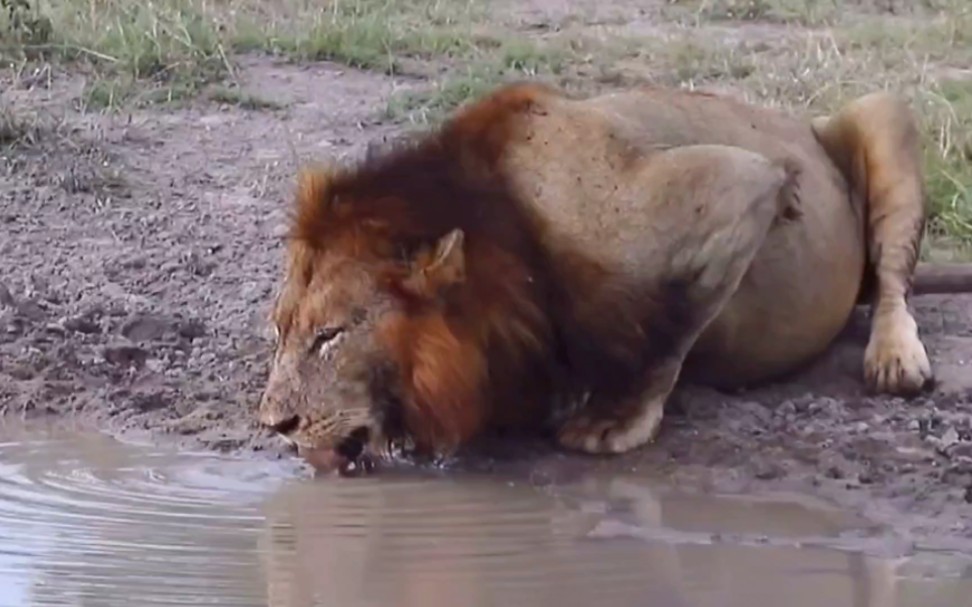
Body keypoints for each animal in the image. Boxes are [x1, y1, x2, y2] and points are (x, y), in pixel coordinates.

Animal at [256, 81, 972, 478]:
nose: (274, 426)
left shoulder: (736, 187)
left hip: (881, 114)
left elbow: (666, 333)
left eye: (331, 335)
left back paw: (895, 357)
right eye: (281, 331)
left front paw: (609, 421)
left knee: (892, 282)